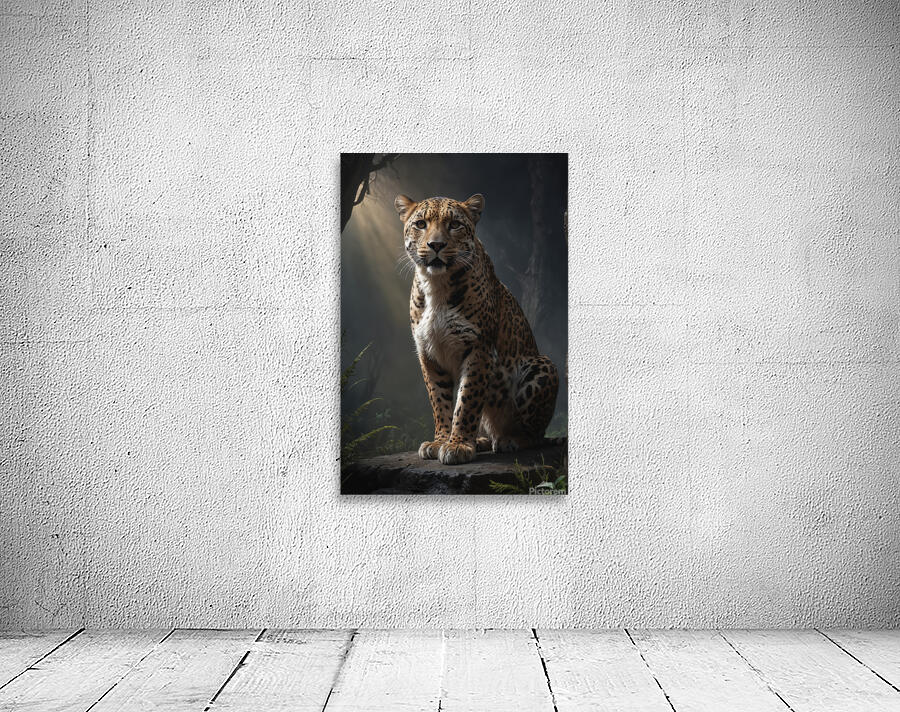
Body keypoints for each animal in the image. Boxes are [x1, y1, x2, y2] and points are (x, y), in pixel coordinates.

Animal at [394, 192, 560, 466]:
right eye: (420, 224)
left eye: (454, 225)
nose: (436, 245)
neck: (436, 284)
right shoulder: (428, 354)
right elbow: (440, 402)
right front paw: (441, 441)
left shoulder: (478, 349)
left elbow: (467, 401)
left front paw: (458, 445)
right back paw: (482, 440)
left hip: (542, 365)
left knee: (535, 435)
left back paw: (510, 440)